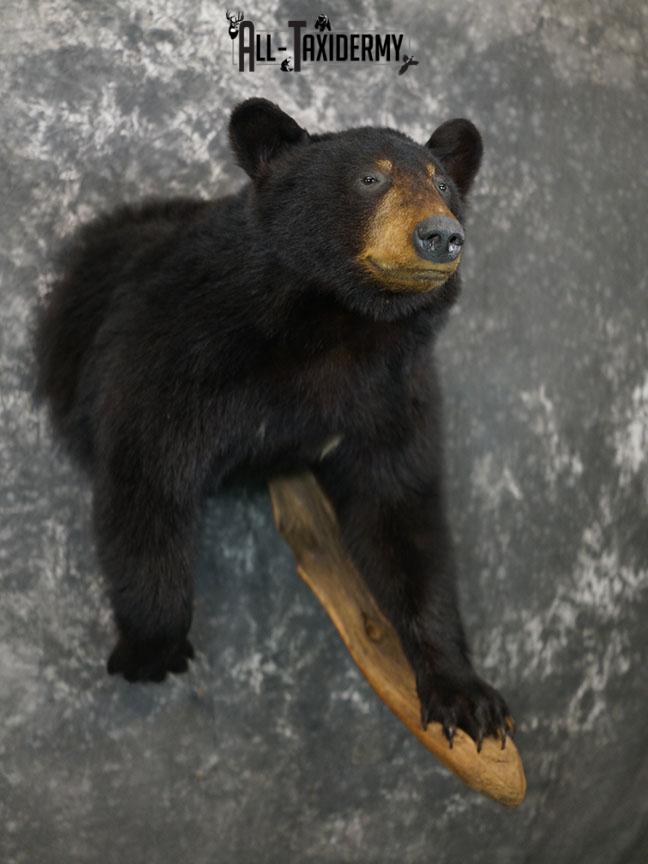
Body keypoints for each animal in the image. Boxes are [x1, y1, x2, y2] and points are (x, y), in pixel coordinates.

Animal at [35, 97, 513, 749]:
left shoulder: (390, 393)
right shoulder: (178, 351)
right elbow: (147, 476)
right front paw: (150, 648)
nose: (442, 234)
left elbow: (401, 513)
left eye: (442, 184)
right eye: (371, 178)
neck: (333, 328)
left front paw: (466, 696)